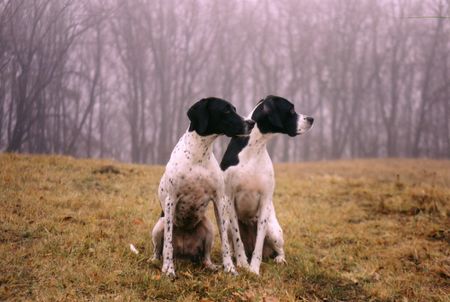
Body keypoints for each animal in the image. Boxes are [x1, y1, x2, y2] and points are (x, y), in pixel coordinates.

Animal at [152, 97, 253, 278]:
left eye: (234, 109)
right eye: (226, 110)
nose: (251, 122)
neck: (199, 154)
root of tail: (183, 256)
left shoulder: (219, 200)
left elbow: (225, 242)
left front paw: (230, 268)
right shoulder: (171, 201)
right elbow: (168, 243)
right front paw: (169, 269)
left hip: (208, 227)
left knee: (205, 257)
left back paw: (211, 266)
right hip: (160, 225)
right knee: (159, 249)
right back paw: (157, 261)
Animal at [221, 95, 312, 274]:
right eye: (291, 110)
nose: (311, 119)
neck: (254, 148)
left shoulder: (264, 202)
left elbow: (259, 244)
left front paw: (254, 270)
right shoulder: (229, 200)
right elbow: (238, 239)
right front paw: (242, 264)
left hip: (273, 230)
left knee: (278, 249)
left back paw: (279, 259)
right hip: (227, 224)